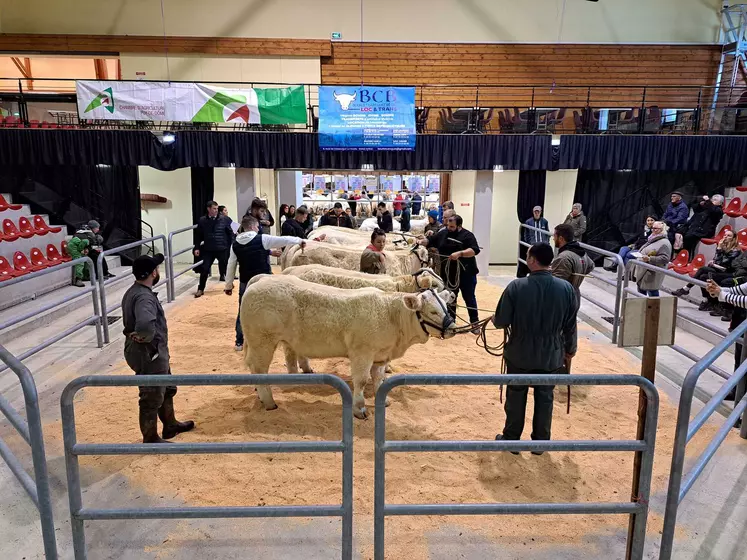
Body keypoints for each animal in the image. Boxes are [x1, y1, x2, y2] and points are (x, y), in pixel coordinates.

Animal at [243, 276, 458, 420]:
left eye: (446, 307)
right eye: (433, 311)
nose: (453, 328)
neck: (391, 314)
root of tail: (261, 280)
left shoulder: (380, 354)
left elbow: (378, 378)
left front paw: (384, 400)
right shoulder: (362, 352)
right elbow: (361, 381)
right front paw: (360, 409)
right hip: (262, 342)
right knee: (259, 369)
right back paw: (269, 402)